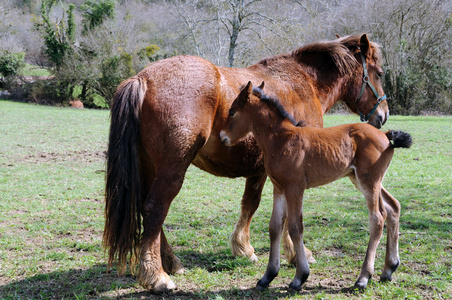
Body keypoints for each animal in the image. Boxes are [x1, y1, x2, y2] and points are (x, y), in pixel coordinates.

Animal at [104, 34, 390, 292]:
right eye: (379, 73)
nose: (384, 115)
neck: (301, 81)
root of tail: (142, 79)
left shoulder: (267, 172)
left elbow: (254, 206)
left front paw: (245, 248)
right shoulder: (283, 176)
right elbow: (279, 215)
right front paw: (291, 255)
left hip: (149, 167)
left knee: (147, 209)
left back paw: (171, 262)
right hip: (171, 170)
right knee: (155, 209)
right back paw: (157, 276)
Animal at [219, 81, 414, 290]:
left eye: (232, 111)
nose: (222, 137)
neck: (281, 139)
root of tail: (385, 134)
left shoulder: (295, 188)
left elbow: (295, 227)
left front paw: (300, 277)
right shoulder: (279, 188)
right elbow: (275, 227)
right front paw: (268, 276)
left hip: (369, 181)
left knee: (378, 218)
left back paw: (363, 277)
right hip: (363, 179)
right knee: (393, 207)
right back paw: (389, 269)